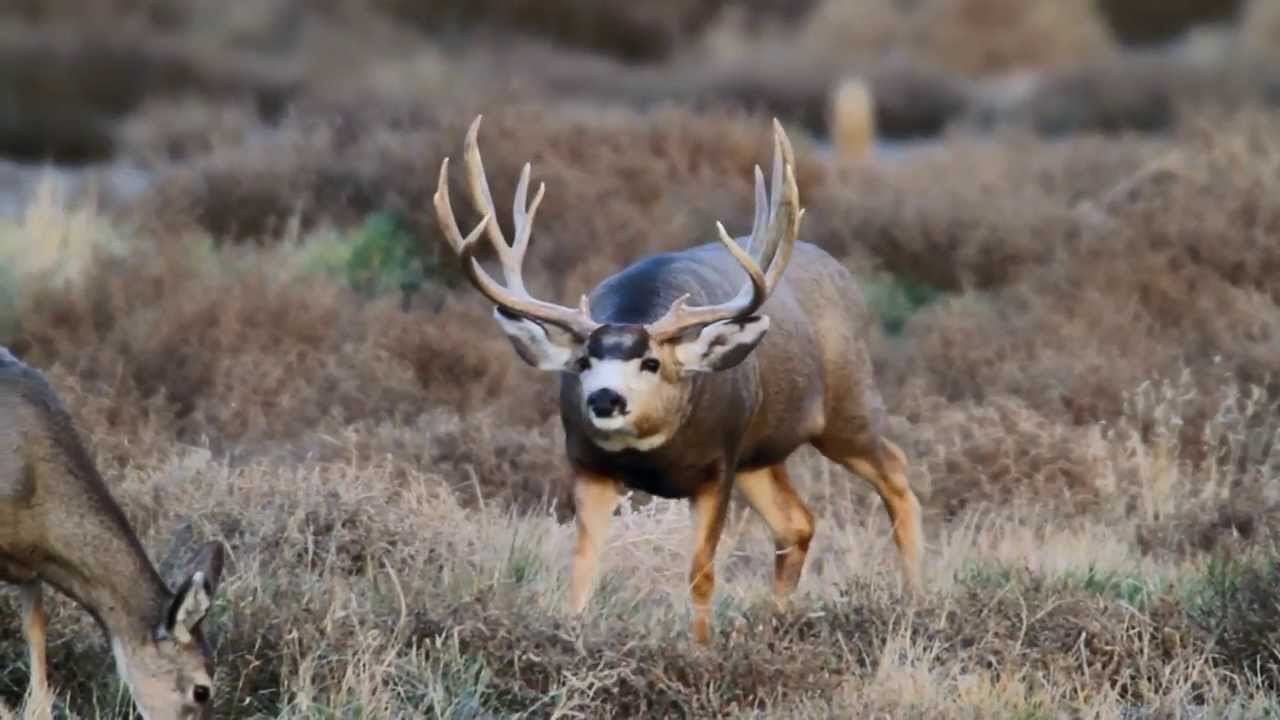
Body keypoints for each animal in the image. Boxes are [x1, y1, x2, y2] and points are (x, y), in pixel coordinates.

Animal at [435, 114, 926, 640]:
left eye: (651, 363)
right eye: (583, 362)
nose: (604, 399)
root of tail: (841, 270)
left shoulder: (717, 465)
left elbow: (701, 573)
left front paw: (701, 649)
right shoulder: (588, 463)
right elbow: (584, 565)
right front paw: (573, 636)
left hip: (846, 405)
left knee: (896, 474)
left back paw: (913, 600)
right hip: (760, 451)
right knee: (797, 523)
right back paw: (776, 623)